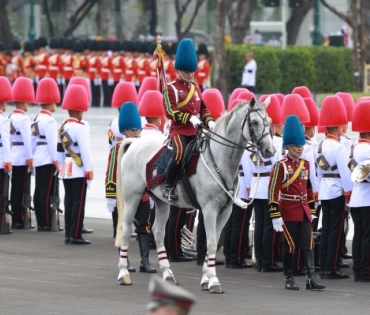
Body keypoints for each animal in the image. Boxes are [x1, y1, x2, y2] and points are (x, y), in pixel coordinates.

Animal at [115, 98, 274, 294]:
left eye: (269, 121)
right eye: (255, 122)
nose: (270, 151)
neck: (220, 160)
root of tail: (135, 142)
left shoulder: (225, 211)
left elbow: (212, 243)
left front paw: (206, 279)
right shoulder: (209, 209)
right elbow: (211, 243)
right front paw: (214, 281)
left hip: (161, 201)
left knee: (158, 232)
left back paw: (168, 273)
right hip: (133, 197)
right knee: (125, 229)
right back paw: (123, 274)